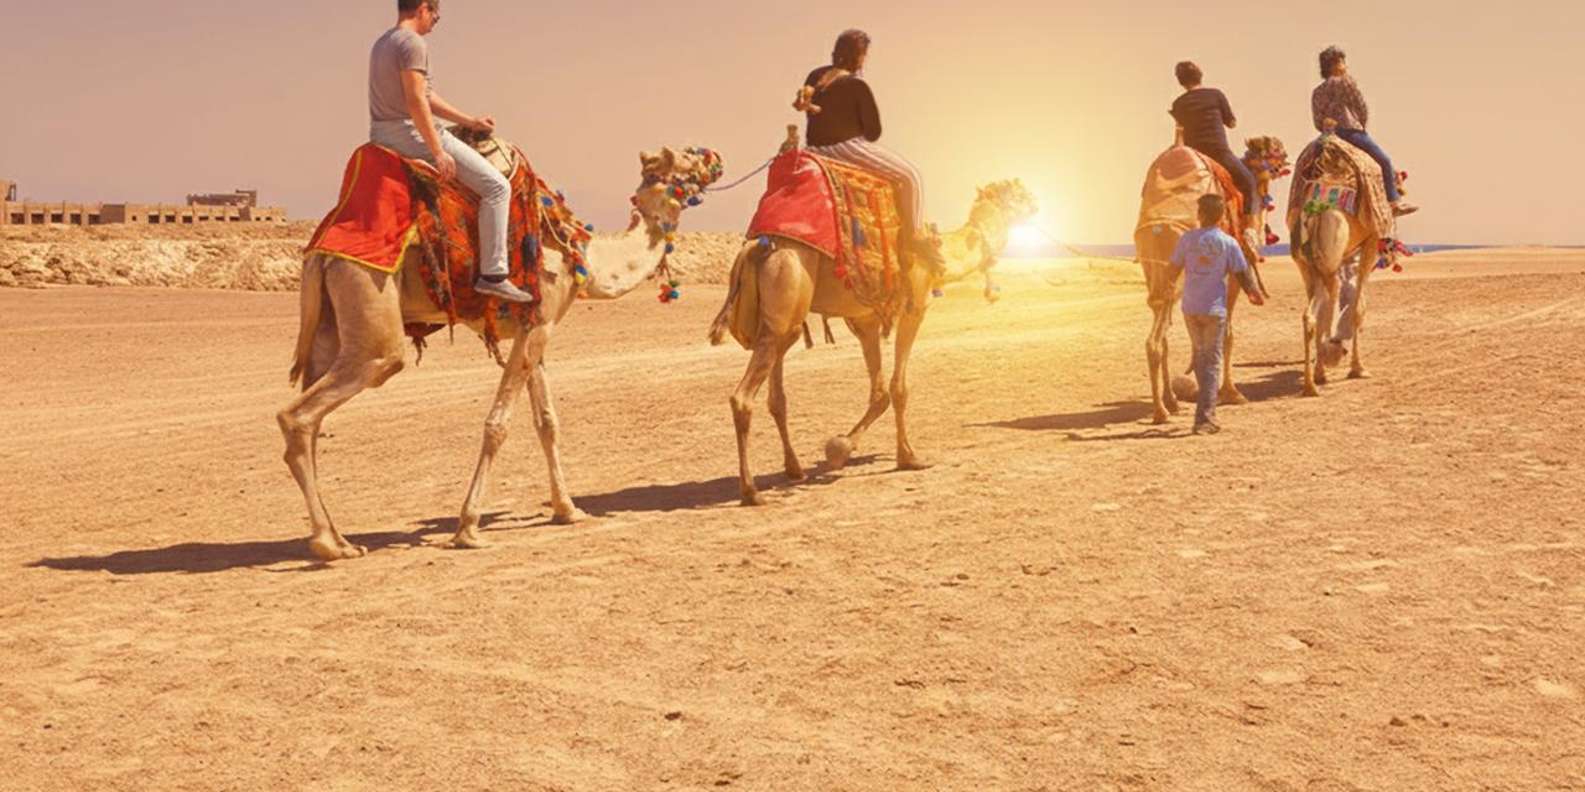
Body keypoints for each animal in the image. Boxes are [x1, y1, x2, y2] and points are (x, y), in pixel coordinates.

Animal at [279, 146, 712, 561]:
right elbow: (498, 425)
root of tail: (318, 252)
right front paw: (468, 529)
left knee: (312, 418)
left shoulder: (535, 326)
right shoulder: (539, 322)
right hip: (372, 312)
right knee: (299, 415)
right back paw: (328, 544)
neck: (581, 257)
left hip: (330, 326)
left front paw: (567, 509)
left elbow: (547, 422)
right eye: (686, 162)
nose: (716, 159)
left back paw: (339, 538)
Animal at [709, 161, 1037, 506]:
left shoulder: (865, 321)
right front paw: (907, 457)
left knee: (776, 396)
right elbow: (899, 388)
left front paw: (840, 448)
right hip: (787, 292)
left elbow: (879, 392)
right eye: (1019, 193)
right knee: (743, 397)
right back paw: (751, 491)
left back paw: (794, 469)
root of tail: (753, 247)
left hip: (778, 321)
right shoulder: (915, 305)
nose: (1036, 203)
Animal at [1135, 134, 1289, 424]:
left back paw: (1170, 402)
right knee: (1155, 341)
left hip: (1156, 276)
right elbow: (1226, 333)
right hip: (1174, 280)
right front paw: (1231, 392)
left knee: (1162, 335)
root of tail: (1159, 226)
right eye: (1274, 149)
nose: (1286, 161)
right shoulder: (1232, 273)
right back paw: (1161, 411)